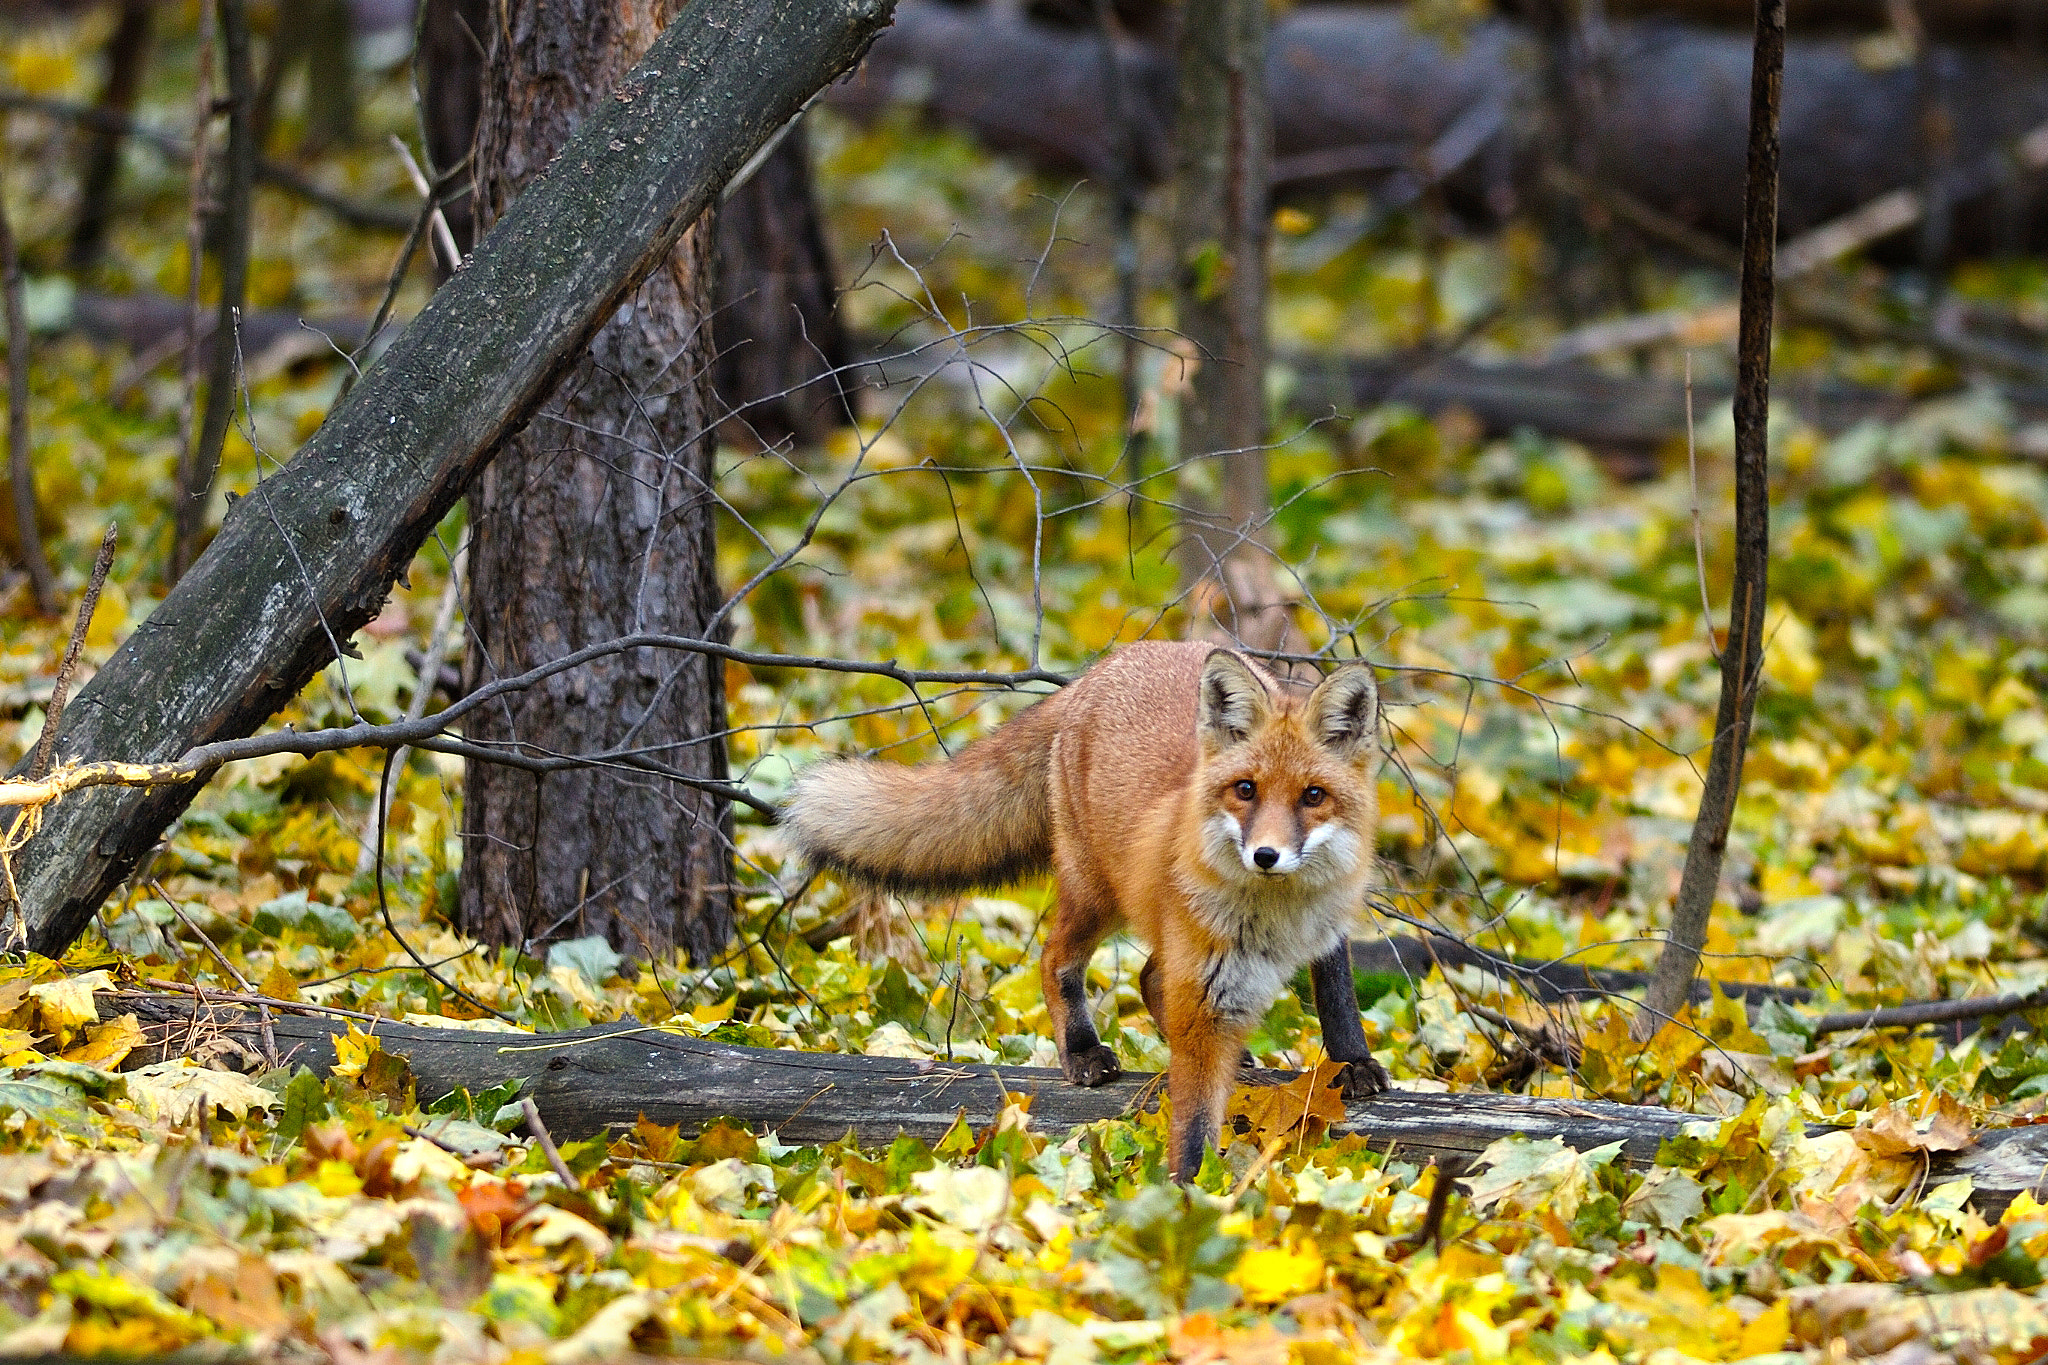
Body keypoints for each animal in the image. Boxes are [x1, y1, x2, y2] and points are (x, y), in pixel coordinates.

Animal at [782, 642, 1392, 1186]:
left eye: (1313, 796)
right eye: (1246, 789)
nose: (1266, 855)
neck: (1276, 919)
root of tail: (1099, 670)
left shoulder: (1327, 928)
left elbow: (1338, 994)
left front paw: (1352, 1064)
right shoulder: (1203, 992)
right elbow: (1194, 1118)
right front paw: (1189, 1193)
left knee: (1147, 978)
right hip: (1096, 896)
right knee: (1056, 959)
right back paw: (1081, 1051)